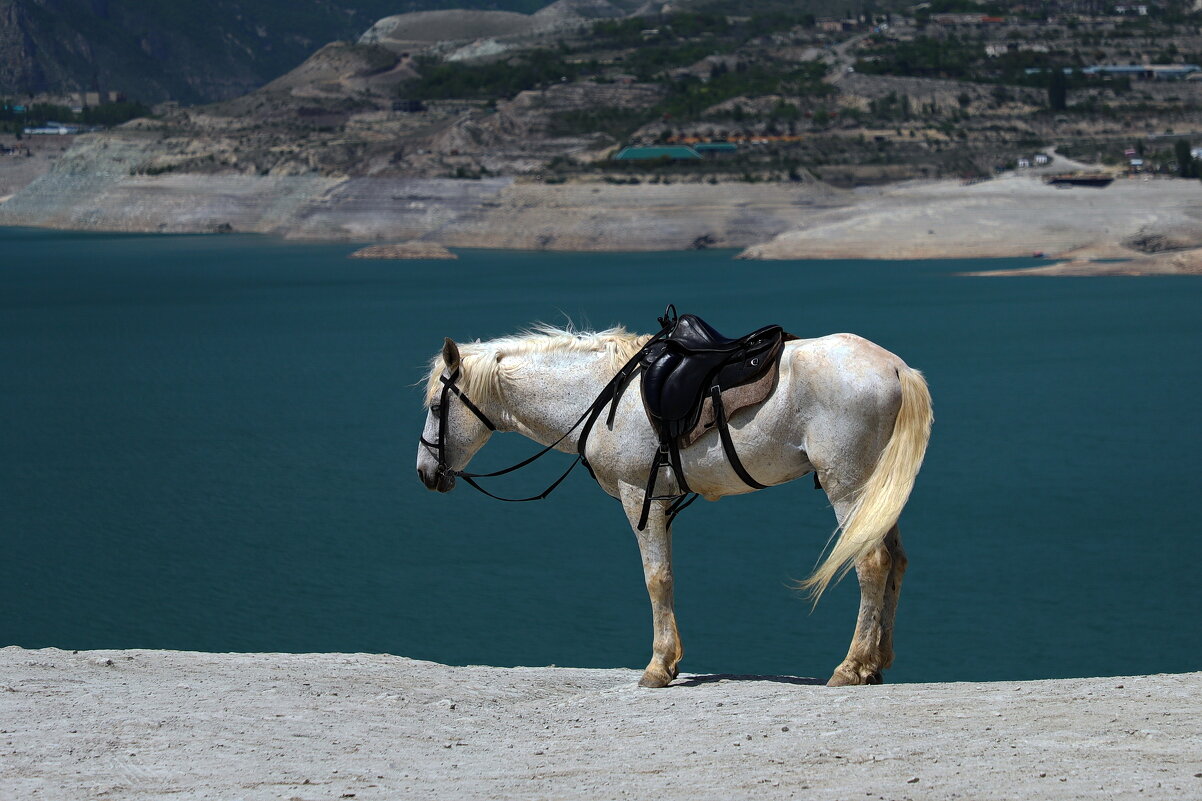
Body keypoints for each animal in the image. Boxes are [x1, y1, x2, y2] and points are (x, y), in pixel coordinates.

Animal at [418, 324, 932, 687]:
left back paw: (851, 666)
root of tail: (896, 369)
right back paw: (875, 663)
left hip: (849, 486)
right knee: (897, 562)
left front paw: (660, 665)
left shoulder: (637, 495)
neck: (601, 395)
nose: (425, 473)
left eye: (436, 407)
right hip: (878, 492)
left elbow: (657, 578)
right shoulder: (660, 499)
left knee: (871, 562)